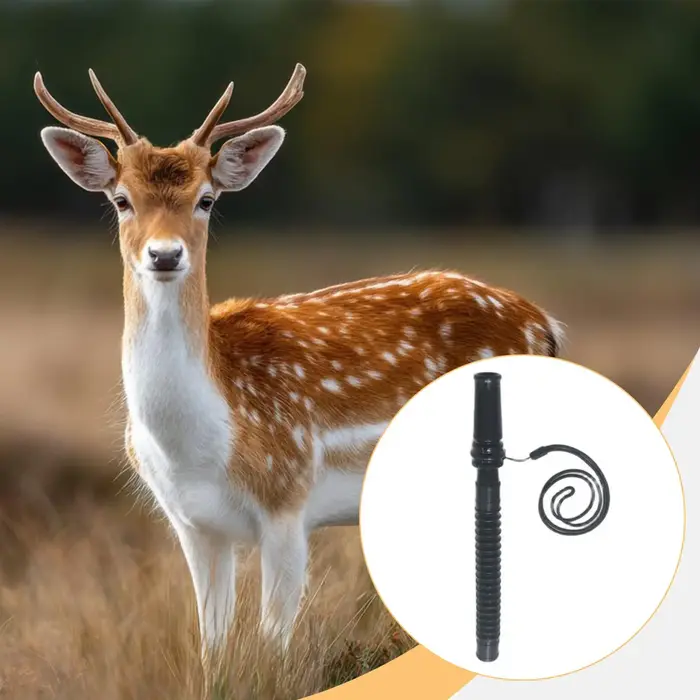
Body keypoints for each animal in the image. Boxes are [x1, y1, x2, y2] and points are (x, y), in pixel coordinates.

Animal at [33, 63, 565, 665]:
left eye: (206, 199)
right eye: (122, 199)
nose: (165, 255)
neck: (203, 443)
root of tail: (546, 324)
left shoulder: (287, 498)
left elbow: (272, 644)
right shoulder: (192, 523)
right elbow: (211, 648)